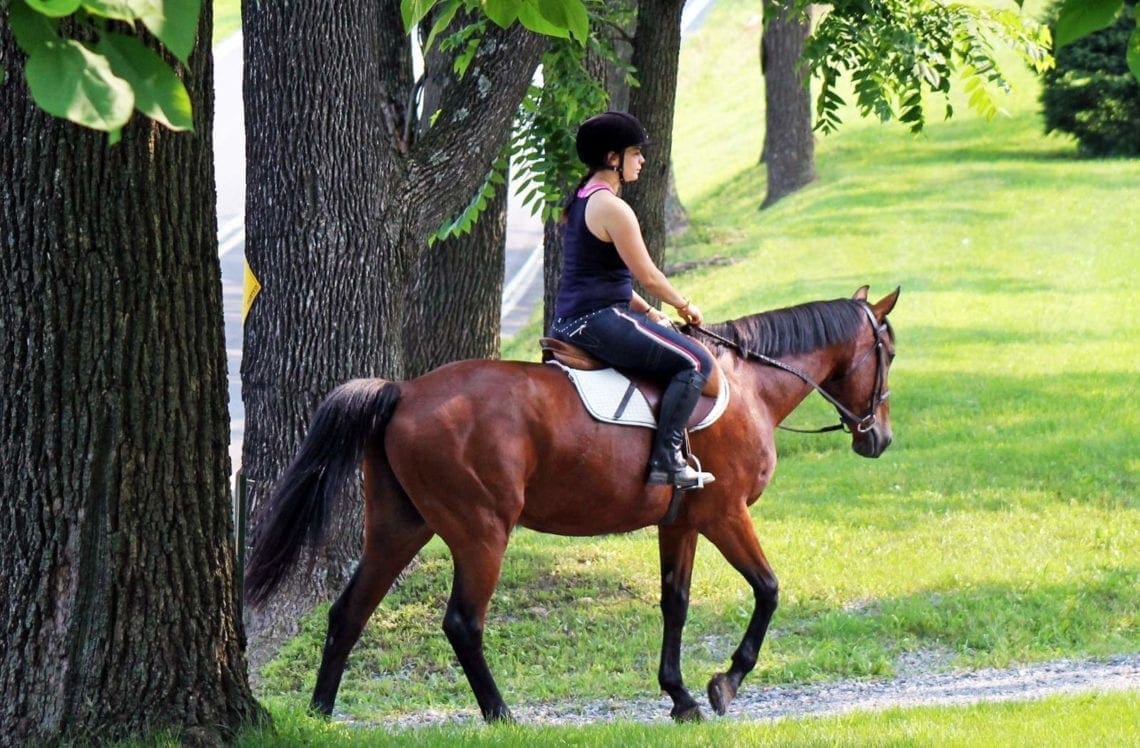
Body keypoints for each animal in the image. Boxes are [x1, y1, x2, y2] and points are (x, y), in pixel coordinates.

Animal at [247, 285, 898, 720]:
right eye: (888, 352)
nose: (880, 439)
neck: (747, 386)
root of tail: (404, 391)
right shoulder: (725, 513)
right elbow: (768, 590)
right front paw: (725, 683)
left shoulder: (682, 522)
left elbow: (675, 604)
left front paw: (680, 696)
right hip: (480, 531)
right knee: (462, 622)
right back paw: (500, 716)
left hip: (399, 527)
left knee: (348, 612)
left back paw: (321, 714)